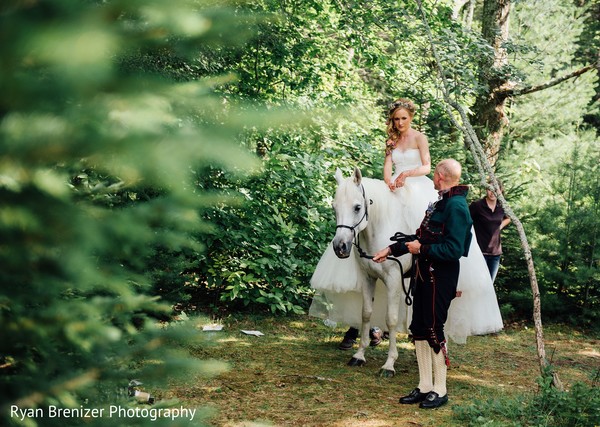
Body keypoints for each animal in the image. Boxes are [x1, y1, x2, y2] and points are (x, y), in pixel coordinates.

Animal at [330, 167, 414, 378]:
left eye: (357, 207)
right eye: (334, 207)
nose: (340, 246)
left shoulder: (394, 280)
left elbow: (391, 319)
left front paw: (389, 364)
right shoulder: (368, 278)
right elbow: (366, 314)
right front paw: (359, 355)